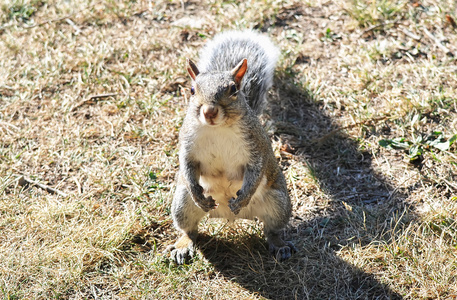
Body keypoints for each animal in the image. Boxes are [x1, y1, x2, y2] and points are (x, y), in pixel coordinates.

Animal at [167, 31, 296, 264]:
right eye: (192, 90)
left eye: (234, 89)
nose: (209, 112)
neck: (218, 129)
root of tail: (226, 215)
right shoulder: (187, 145)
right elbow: (186, 165)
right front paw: (197, 193)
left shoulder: (257, 147)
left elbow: (256, 171)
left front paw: (242, 197)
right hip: (182, 204)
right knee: (189, 229)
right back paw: (183, 246)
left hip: (278, 203)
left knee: (271, 229)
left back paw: (279, 245)